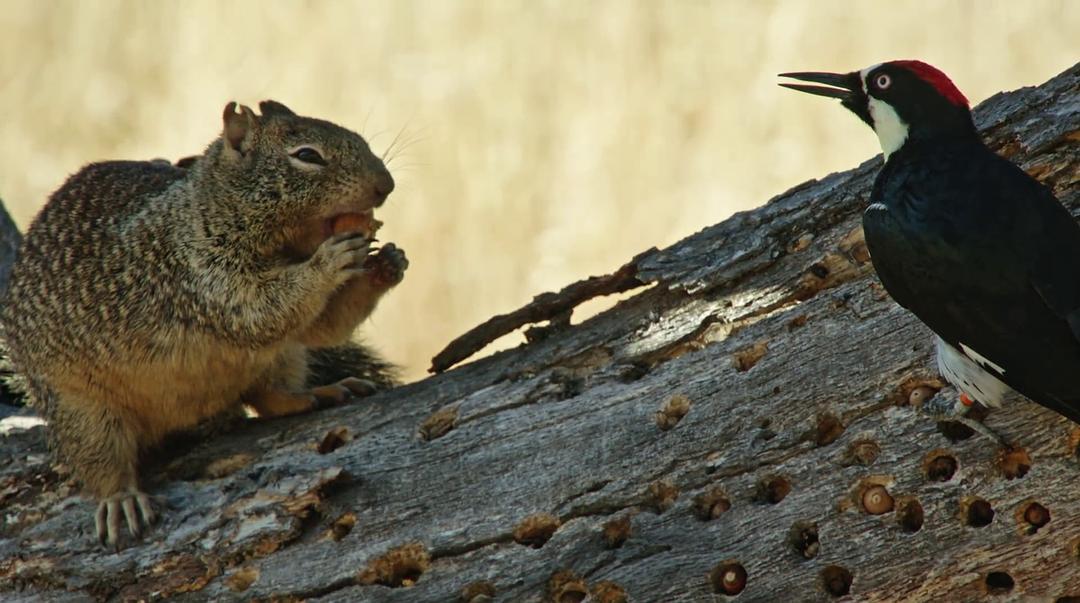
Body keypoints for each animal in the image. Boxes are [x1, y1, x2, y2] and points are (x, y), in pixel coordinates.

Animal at [1, 100, 406, 553]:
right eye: (307, 155)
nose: (385, 186)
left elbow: (319, 328)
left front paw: (386, 264)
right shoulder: (200, 277)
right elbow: (264, 309)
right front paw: (330, 261)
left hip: (283, 358)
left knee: (270, 395)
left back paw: (317, 393)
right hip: (80, 410)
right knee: (101, 462)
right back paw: (121, 500)